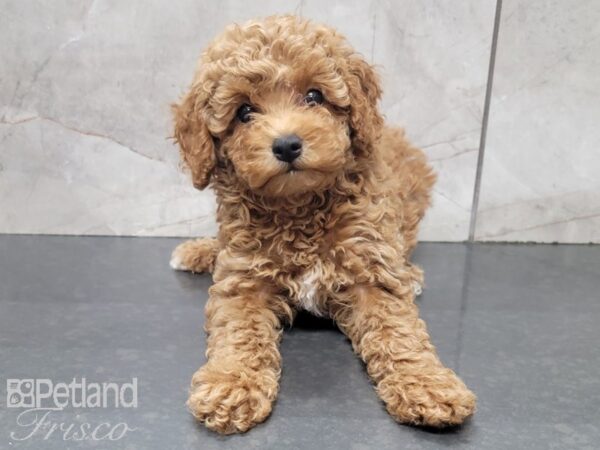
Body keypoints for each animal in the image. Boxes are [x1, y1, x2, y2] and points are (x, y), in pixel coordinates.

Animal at [171, 15, 476, 434]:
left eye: (314, 96)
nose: (286, 144)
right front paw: (231, 385)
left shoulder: (370, 273)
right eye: (244, 112)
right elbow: (239, 332)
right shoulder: (244, 280)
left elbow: (398, 333)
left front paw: (426, 386)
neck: (300, 208)